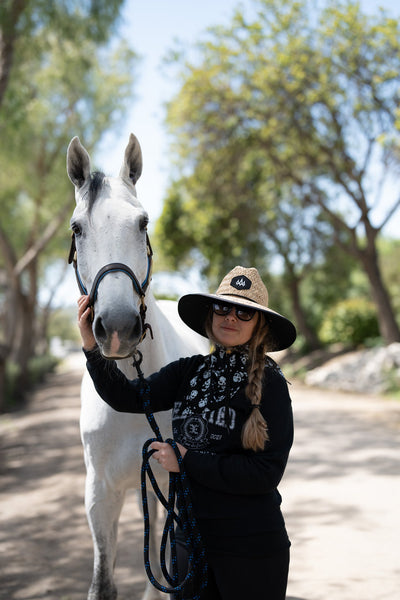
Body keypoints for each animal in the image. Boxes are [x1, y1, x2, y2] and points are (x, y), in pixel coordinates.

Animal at [66, 135, 208, 600]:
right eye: (77, 228)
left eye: (143, 223)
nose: (117, 328)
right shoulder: (100, 495)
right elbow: (103, 584)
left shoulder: (173, 482)